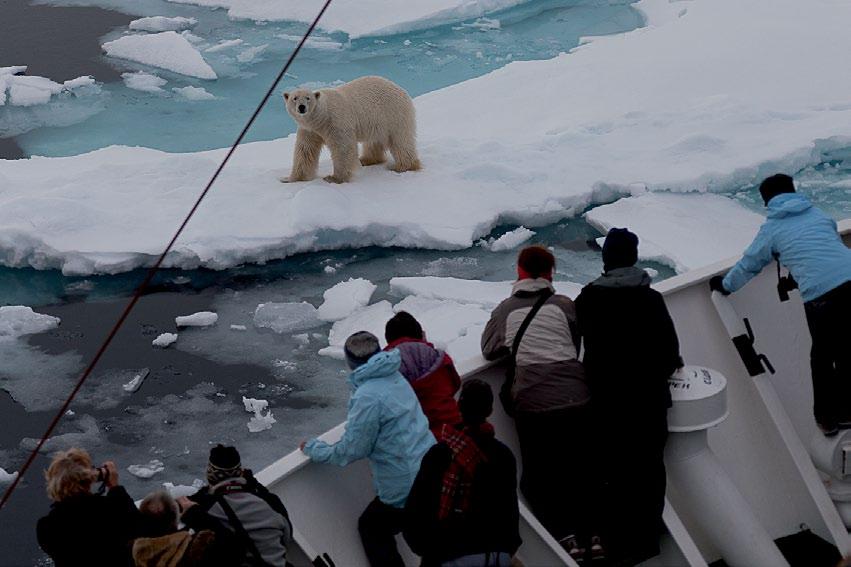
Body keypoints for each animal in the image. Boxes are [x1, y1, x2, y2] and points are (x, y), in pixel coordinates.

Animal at [282, 76, 422, 184]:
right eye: (294, 98)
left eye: (308, 98)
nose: (301, 107)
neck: (321, 118)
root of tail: (402, 90)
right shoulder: (309, 130)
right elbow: (305, 151)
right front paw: (291, 178)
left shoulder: (336, 122)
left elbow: (343, 148)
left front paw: (334, 178)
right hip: (378, 123)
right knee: (374, 142)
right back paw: (366, 159)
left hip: (393, 115)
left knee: (400, 142)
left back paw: (402, 166)